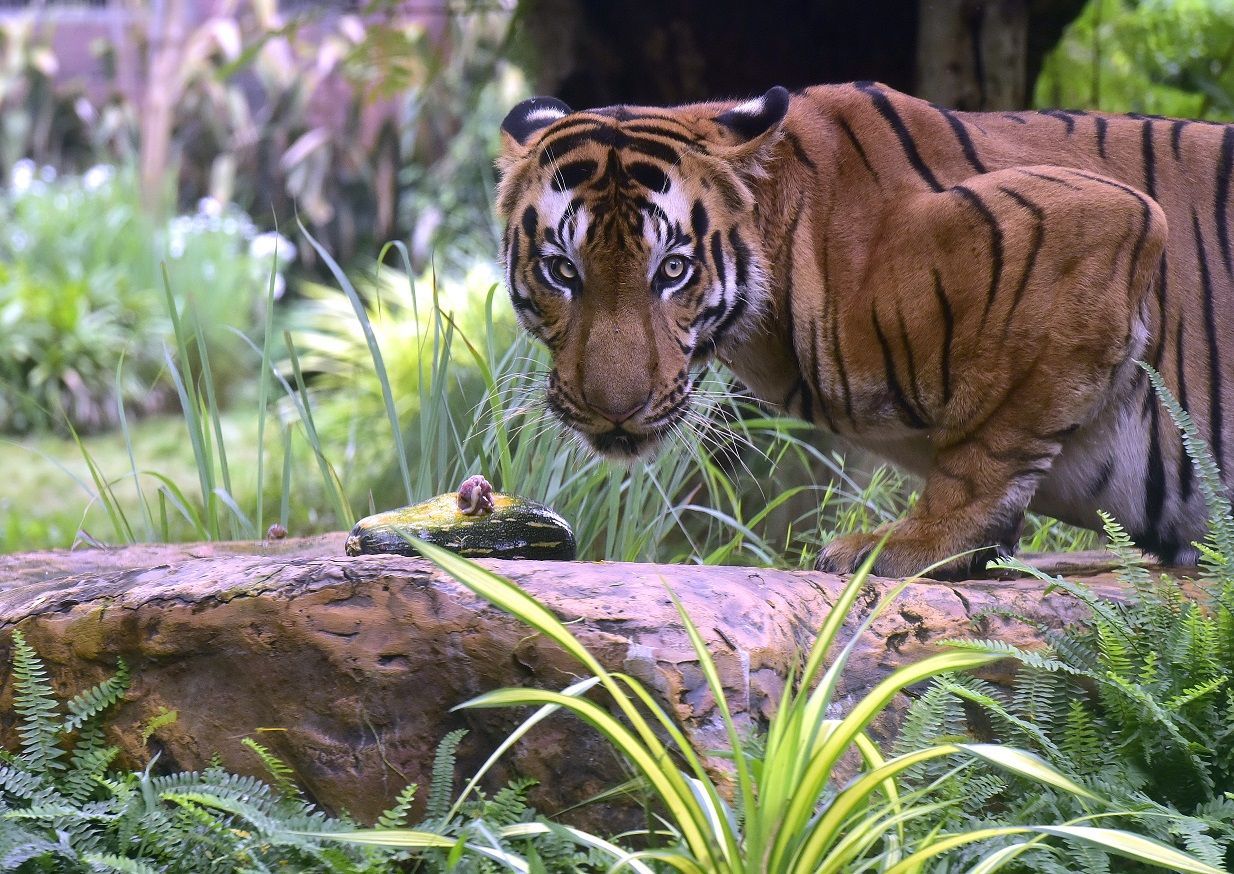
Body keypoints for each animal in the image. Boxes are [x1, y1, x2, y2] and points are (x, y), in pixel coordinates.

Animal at [495, 81, 1234, 579]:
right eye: (563, 271)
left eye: (672, 270)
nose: (615, 411)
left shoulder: (1099, 217)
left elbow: (986, 445)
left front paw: (915, 545)